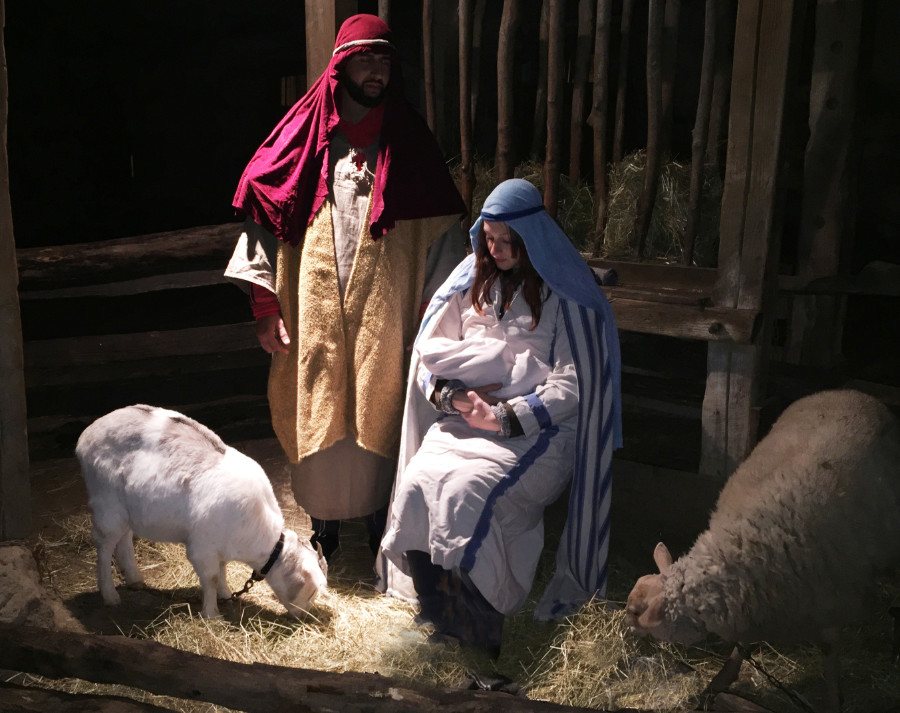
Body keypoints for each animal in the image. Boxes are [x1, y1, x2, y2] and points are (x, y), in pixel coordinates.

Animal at [76, 404, 328, 619]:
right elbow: (212, 578)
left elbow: (223, 569)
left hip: (127, 510)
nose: (303, 617)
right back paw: (109, 594)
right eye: (311, 591)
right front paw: (212, 614)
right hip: (106, 504)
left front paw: (225, 594)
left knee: (125, 538)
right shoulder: (202, 548)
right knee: (104, 545)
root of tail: (87, 433)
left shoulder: (220, 546)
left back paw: (135, 578)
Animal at [625, 389, 900, 711]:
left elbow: (830, 653)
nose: (626, 627)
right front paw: (722, 678)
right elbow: (742, 645)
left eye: (635, 612)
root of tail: (851, 392)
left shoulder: (830, 600)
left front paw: (834, 700)